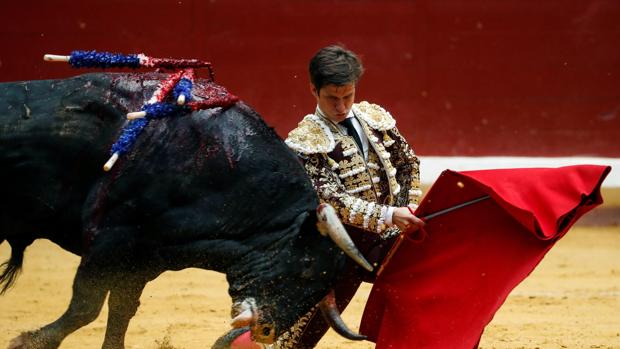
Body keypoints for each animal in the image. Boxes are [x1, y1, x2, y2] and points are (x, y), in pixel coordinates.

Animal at [0, 72, 370, 346]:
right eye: (306, 267)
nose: (266, 332)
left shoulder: (141, 260)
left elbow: (120, 312)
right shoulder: (109, 240)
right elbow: (85, 307)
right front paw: (26, 342)